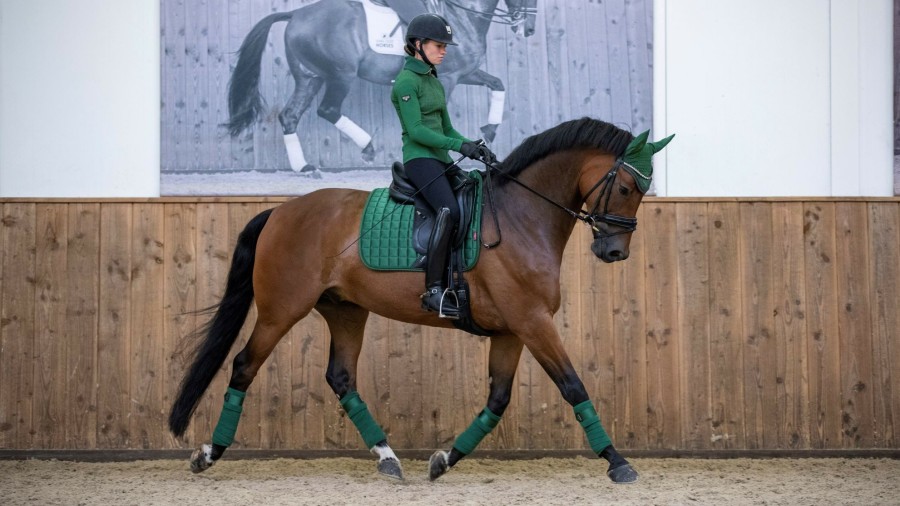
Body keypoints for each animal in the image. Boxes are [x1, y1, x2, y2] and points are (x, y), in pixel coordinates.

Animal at [171, 117, 676, 482]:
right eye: (626, 188)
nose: (614, 252)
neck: (521, 216)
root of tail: (279, 210)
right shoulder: (533, 322)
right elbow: (573, 387)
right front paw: (617, 462)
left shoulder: (512, 330)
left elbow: (497, 401)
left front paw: (443, 460)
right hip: (281, 310)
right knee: (244, 366)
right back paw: (208, 454)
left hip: (346, 311)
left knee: (341, 378)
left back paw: (388, 459)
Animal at [227, 0, 536, 173]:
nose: (528, 29)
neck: (462, 17)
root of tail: (296, 15)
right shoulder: (450, 77)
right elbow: (436, 123)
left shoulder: (464, 72)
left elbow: (497, 83)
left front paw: (490, 130)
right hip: (341, 74)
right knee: (328, 109)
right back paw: (367, 148)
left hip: (309, 78)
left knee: (290, 116)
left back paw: (304, 167)